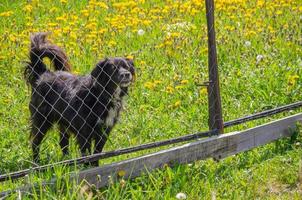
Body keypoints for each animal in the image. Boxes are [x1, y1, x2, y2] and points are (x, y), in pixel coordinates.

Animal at [24, 32, 135, 166]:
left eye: (127, 67)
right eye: (113, 68)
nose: (126, 74)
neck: (102, 95)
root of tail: (43, 74)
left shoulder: (104, 131)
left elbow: (97, 152)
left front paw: (95, 165)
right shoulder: (84, 132)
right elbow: (87, 152)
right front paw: (88, 167)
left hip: (64, 122)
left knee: (63, 142)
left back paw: (67, 162)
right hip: (42, 120)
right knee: (35, 142)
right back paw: (36, 163)